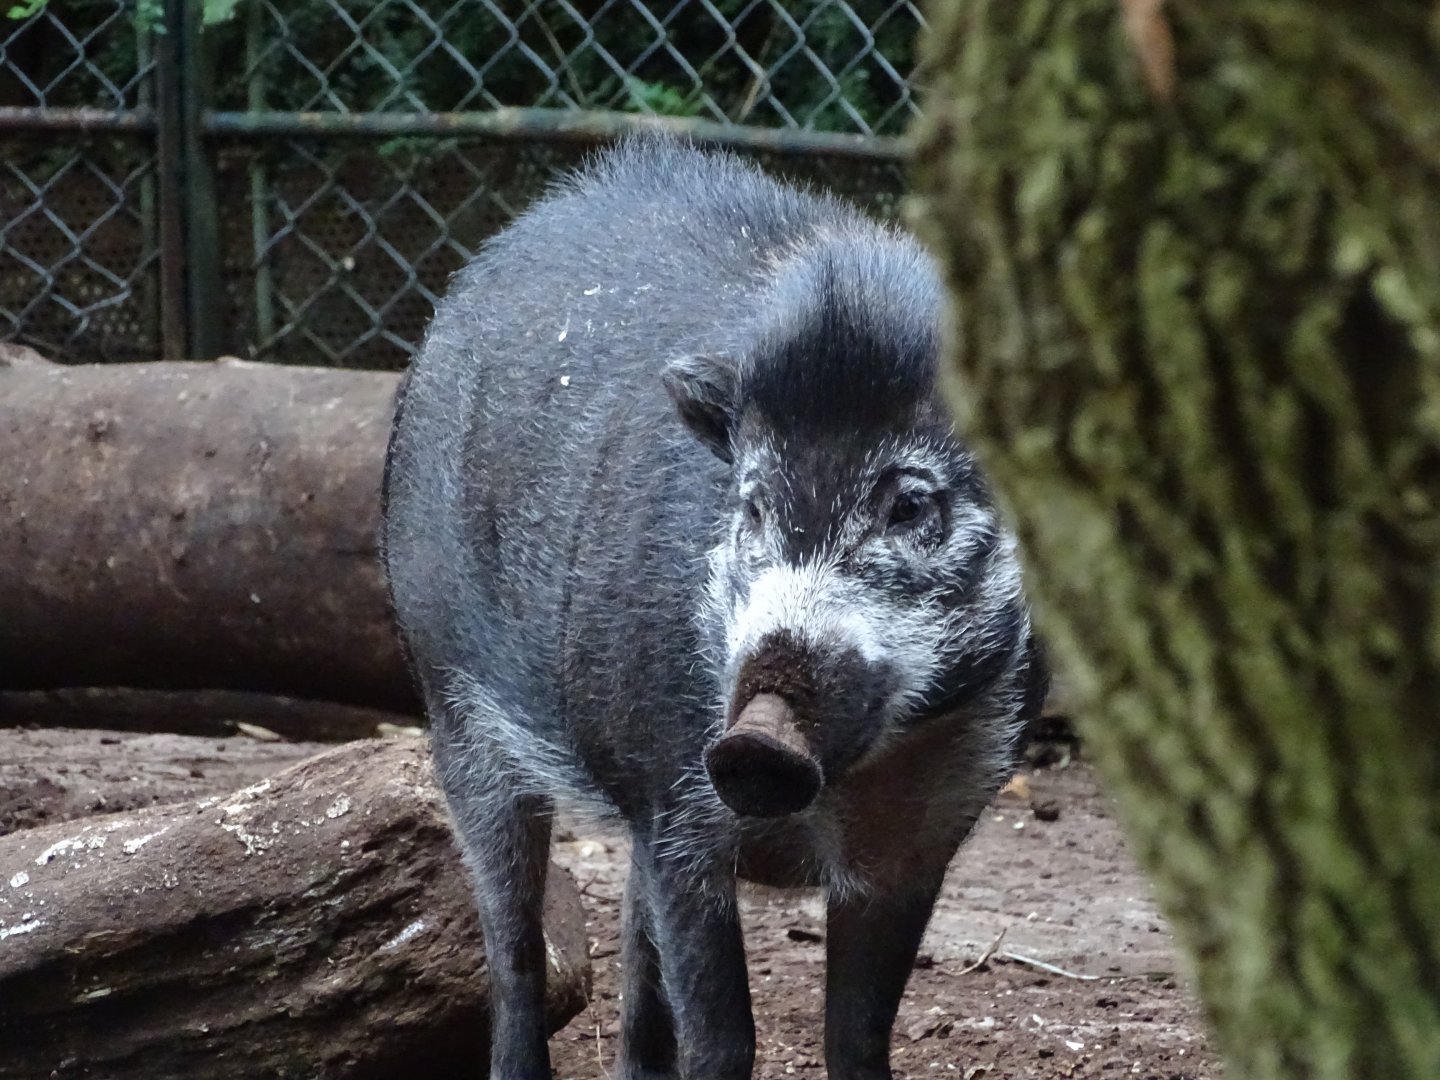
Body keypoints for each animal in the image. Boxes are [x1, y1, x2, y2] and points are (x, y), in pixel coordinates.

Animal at [381, 138, 1047, 1080]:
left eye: (910, 506)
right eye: (753, 505)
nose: (756, 738)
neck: (839, 791)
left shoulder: (920, 846)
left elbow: (858, 1036)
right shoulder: (676, 800)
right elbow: (724, 1040)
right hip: (451, 703)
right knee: (512, 943)